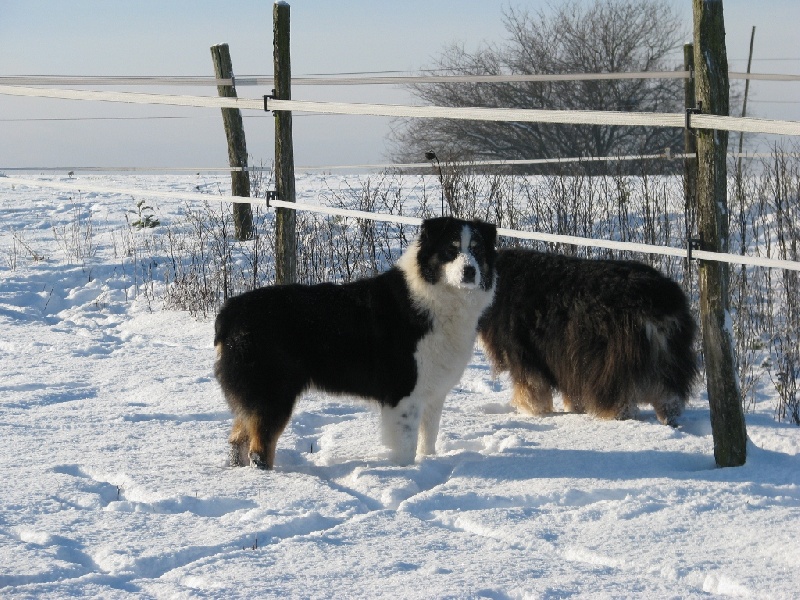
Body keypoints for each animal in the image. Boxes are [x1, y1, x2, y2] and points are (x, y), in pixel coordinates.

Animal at [212, 216, 494, 468]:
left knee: (238, 438)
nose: (470, 271)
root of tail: (230, 310)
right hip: (273, 393)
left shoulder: (433, 391)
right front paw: (407, 471)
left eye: (478, 250)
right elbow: (406, 444)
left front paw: (429, 462)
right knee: (259, 449)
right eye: (450, 250)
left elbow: (429, 438)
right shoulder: (405, 392)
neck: (436, 297)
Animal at [478, 248, 696, 426]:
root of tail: (658, 305)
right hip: (671, 357)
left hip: (612, 361)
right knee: (669, 395)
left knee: (619, 396)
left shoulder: (524, 353)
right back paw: (668, 417)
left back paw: (616, 415)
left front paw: (530, 411)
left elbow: (530, 385)